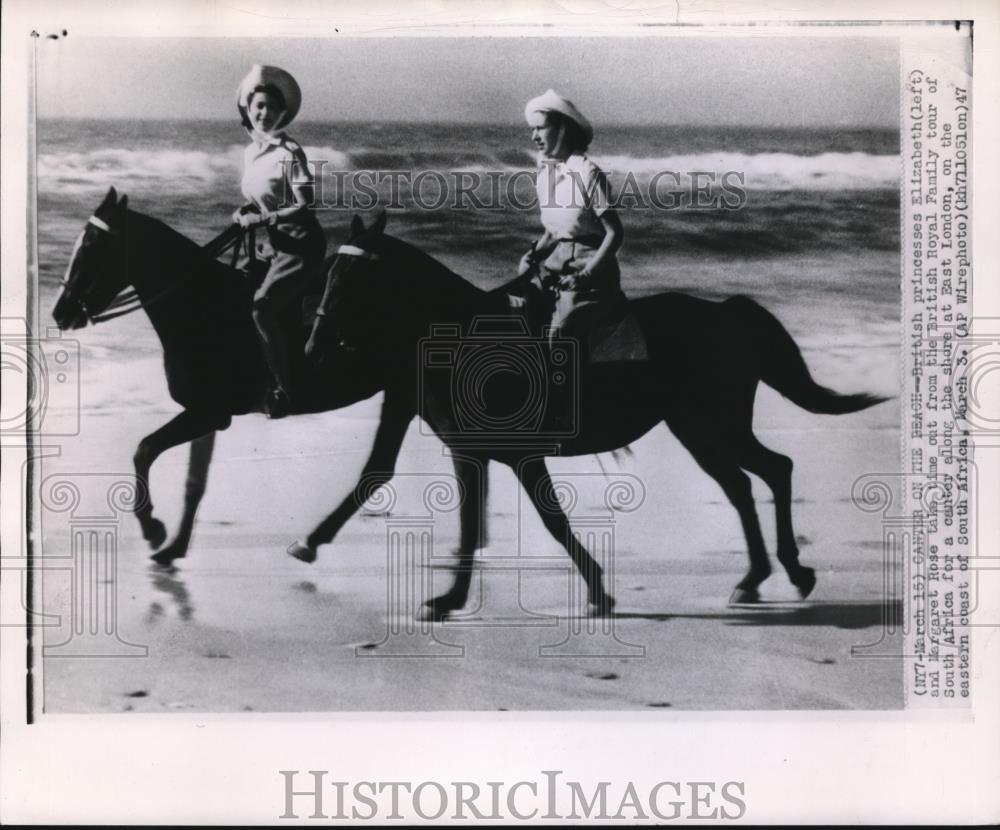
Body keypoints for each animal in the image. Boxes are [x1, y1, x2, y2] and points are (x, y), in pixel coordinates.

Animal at [52, 188, 384, 564]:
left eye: (92, 246)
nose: (59, 313)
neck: (203, 307)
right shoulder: (205, 414)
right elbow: (193, 483)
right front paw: (172, 545)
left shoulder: (208, 413)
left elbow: (144, 449)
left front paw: (153, 529)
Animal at [300, 213, 888, 616]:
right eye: (328, 271)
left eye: (353, 277)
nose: (313, 347)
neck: (459, 336)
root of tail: (727, 311)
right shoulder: (479, 451)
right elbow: (500, 518)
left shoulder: (505, 454)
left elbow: (533, 520)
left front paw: (451, 600)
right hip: (697, 429)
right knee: (746, 482)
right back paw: (757, 577)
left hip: (713, 424)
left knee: (772, 470)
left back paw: (788, 572)